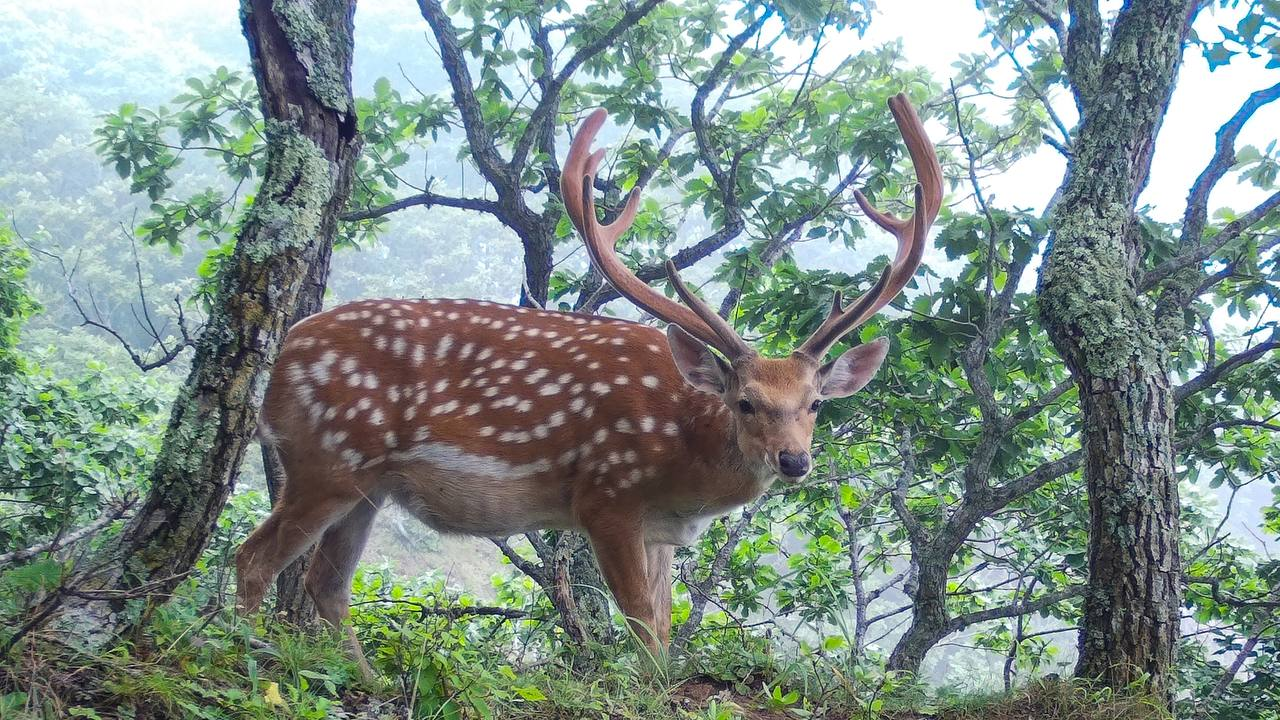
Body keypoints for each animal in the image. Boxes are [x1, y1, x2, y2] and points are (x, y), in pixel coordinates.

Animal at [235, 92, 947, 666]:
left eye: (815, 403)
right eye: (745, 402)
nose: (794, 461)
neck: (686, 463)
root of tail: (281, 358)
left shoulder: (660, 530)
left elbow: (663, 629)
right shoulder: (607, 496)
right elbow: (644, 633)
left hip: (368, 485)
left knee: (326, 584)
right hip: (327, 458)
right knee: (255, 558)